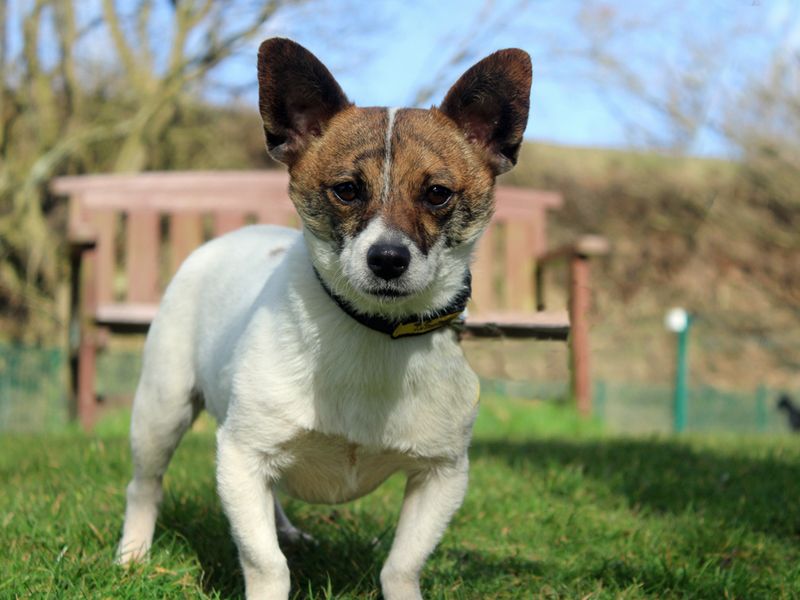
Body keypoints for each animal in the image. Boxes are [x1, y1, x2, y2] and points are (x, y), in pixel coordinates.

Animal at [119, 37, 532, 600]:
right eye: (347, 190)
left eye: (437, 194)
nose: (387, 259)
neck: (373, 331)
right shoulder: (241, 457)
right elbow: (265, 562)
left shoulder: (442, 475)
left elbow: (402, 564)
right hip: (161, 409)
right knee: (146, 485)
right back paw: (133, 554)